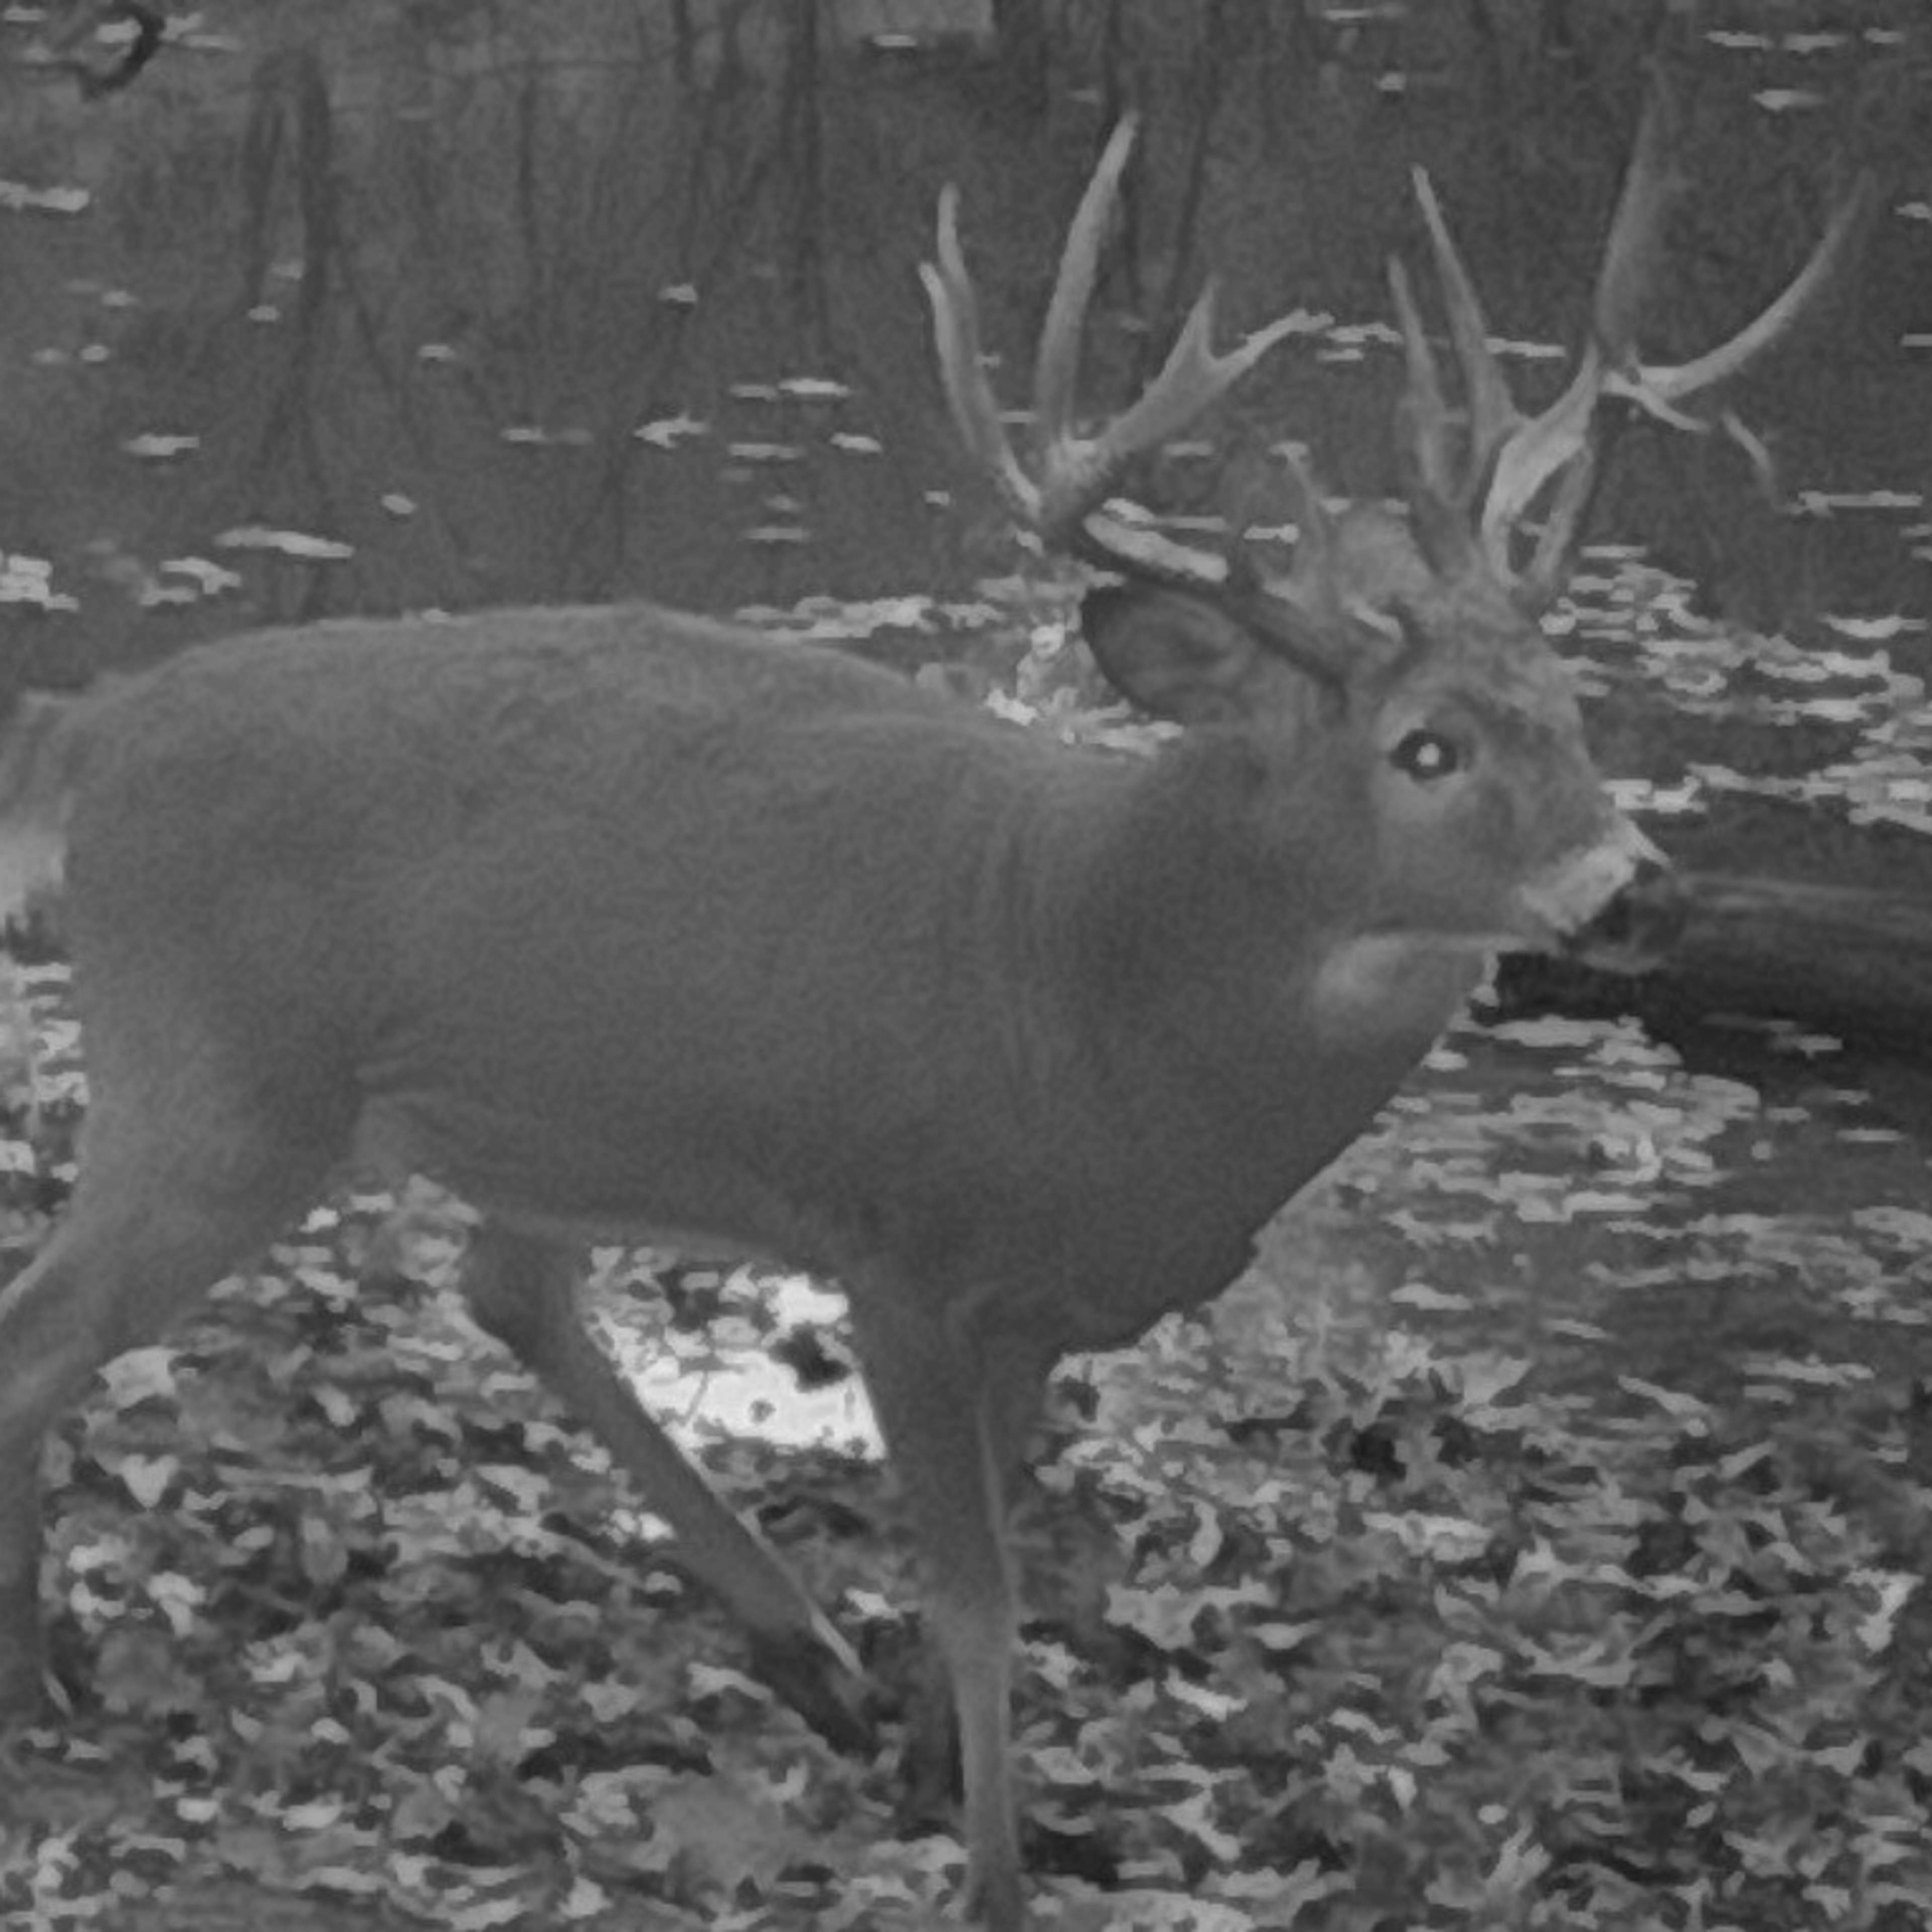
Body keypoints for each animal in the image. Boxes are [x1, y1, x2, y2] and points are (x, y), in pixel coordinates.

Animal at [0, 101, 1860, 1928]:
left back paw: (802, 1651)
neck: (1103, 986)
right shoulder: (889, 1244)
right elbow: (980, 1602)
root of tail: (96, 731)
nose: (1633, 890)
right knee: (48, 1327)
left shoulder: (1028, 1309)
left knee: (504, 1285)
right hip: (217, 1079)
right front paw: (990, 1875)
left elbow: (991, 1570)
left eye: (1571, 706)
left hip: (519, 1114)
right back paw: (39, 1680)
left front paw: (919, 1761)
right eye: (1426, 748)